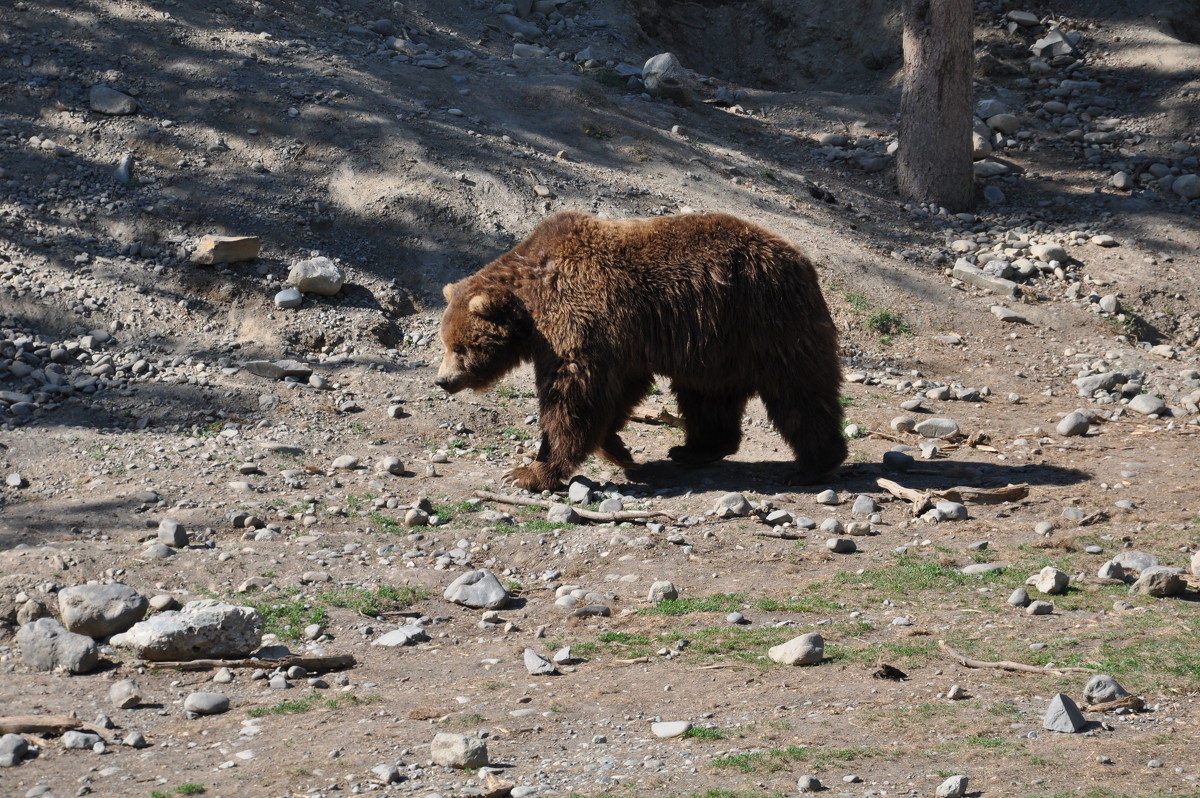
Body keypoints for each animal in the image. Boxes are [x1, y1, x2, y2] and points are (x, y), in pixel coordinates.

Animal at [439, 208, 844, 489]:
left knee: (799, 393)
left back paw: (812, 466)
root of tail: (801, 258)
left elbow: (572, 396)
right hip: (716, 344)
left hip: (766, 321)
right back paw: (695, 449)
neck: (531, 302)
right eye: (444, 343)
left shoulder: (579, 323)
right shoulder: (620, 344)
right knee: (708, 396)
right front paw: (617, 449)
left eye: (460, 347)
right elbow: (617, 391)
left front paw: (528, 472)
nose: (443, 380)